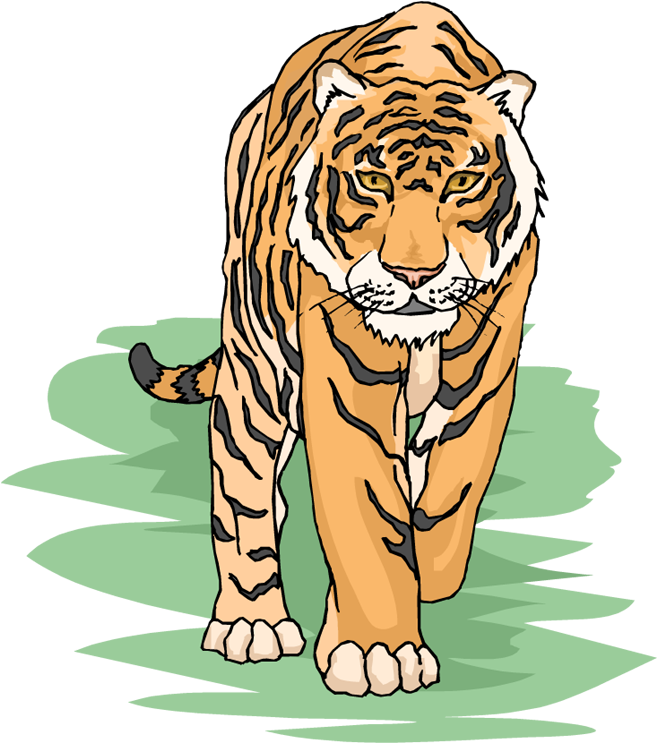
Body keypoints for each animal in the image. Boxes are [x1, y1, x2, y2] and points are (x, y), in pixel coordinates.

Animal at [128, 3, 538, 696]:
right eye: (372, 180)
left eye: (463, 181)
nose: (414, 273)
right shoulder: (348, 383)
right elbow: (367, 515)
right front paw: (380, 652)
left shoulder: (484, 377)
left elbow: (450, 494)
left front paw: (422, 577)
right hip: (255, 372)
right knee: (244, 495)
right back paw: (253, 623)